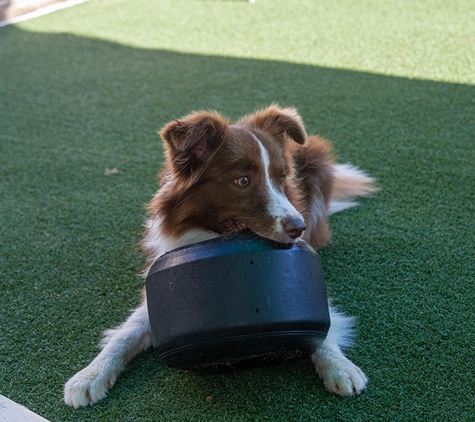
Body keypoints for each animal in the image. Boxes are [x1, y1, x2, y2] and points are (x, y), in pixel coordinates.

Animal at [63, 104, 378, 408]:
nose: (298, 228)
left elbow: (324, 328)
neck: (210, 236)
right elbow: (125, 333)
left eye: (282, 177)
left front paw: (340, 366)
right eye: (243, 180)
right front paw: (89, 375)